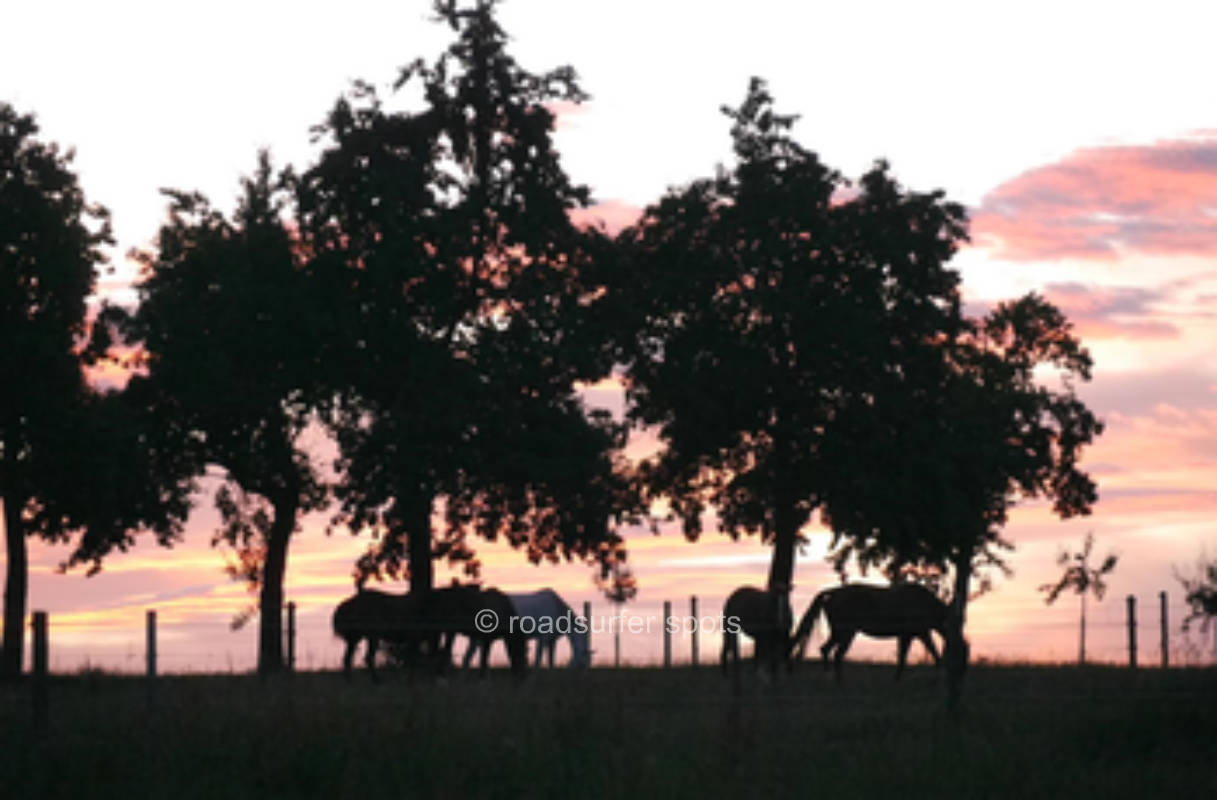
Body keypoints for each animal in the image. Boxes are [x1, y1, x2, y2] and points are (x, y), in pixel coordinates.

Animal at [790, 583, 964, 680]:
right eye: (956, 623)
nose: (960, 641)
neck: (924, 603)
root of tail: (832, 592)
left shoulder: (907, 636)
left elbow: (902, 658)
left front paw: (897, 680)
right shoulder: (922, 633)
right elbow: (933, 652)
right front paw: (941, 674)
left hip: (839, 632)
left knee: (826, 650)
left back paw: (832, 679)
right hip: (846, 632)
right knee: (836, 654)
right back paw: (838, 681)